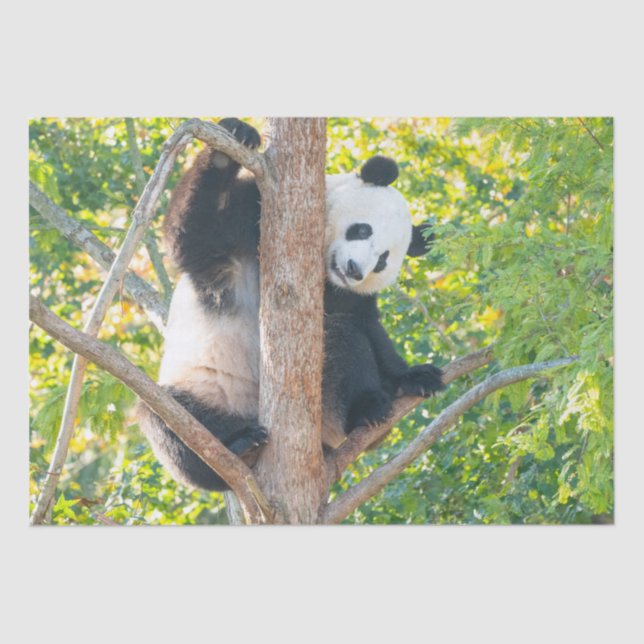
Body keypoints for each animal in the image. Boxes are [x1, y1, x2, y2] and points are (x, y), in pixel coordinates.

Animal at [138, 118, 444, 491]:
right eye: (362, 230)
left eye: (383, 260)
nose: (354, 270)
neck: (323, 270)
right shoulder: (252, 217)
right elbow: (192, 237)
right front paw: (237, 137)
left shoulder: (347, 295)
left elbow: (366, 327)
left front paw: (416, 376)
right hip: (207, 391)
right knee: (164, 418)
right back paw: (236, 445)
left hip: (324, 410)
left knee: (342, 339)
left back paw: (367, 411)